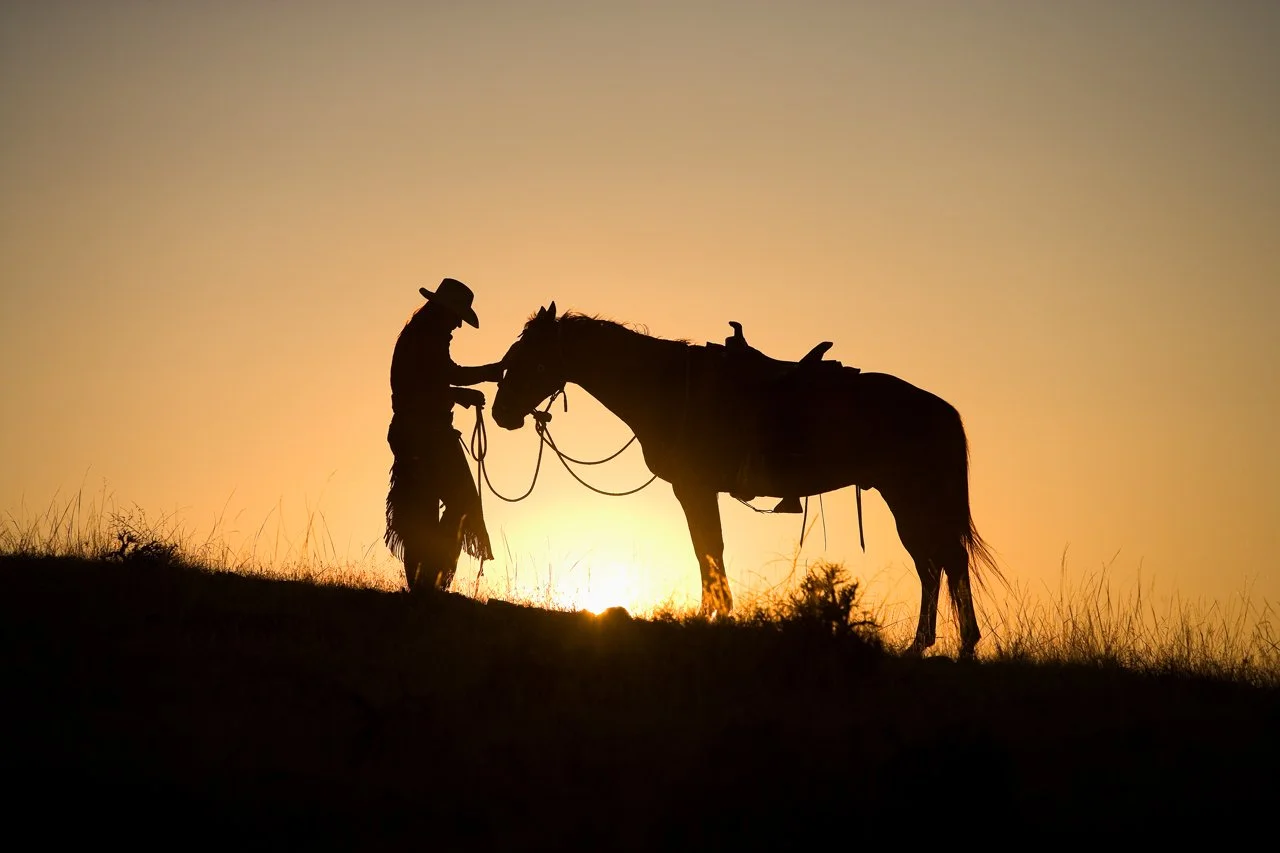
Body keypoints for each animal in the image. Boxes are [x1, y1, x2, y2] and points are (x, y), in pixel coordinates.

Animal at [492, 303, 1000, 658]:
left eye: (530, 357)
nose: (500, 414)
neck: (667, 387)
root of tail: (942, 410)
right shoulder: (695, 490)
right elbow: (708, 550)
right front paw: (716, 612)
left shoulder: (694, 488)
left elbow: (708, 548)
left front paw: (712, 614)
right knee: (935, 564)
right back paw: (931, 644)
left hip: (911, 498)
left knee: (942, 562)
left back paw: (955, 644)